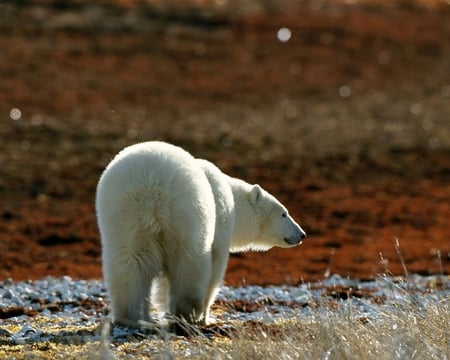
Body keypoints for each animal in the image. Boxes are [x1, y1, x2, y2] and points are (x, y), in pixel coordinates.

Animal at [95, 142, 306, 328]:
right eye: (284, 213)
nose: (302, 234)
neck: (233, 197)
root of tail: (152, 185)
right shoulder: (220, 222)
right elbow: (215, 268)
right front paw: (206, 317)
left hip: (124, 216)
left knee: (129, 262)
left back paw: (133, 317)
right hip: (187, 215)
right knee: (190, 262)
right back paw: (187, 314)